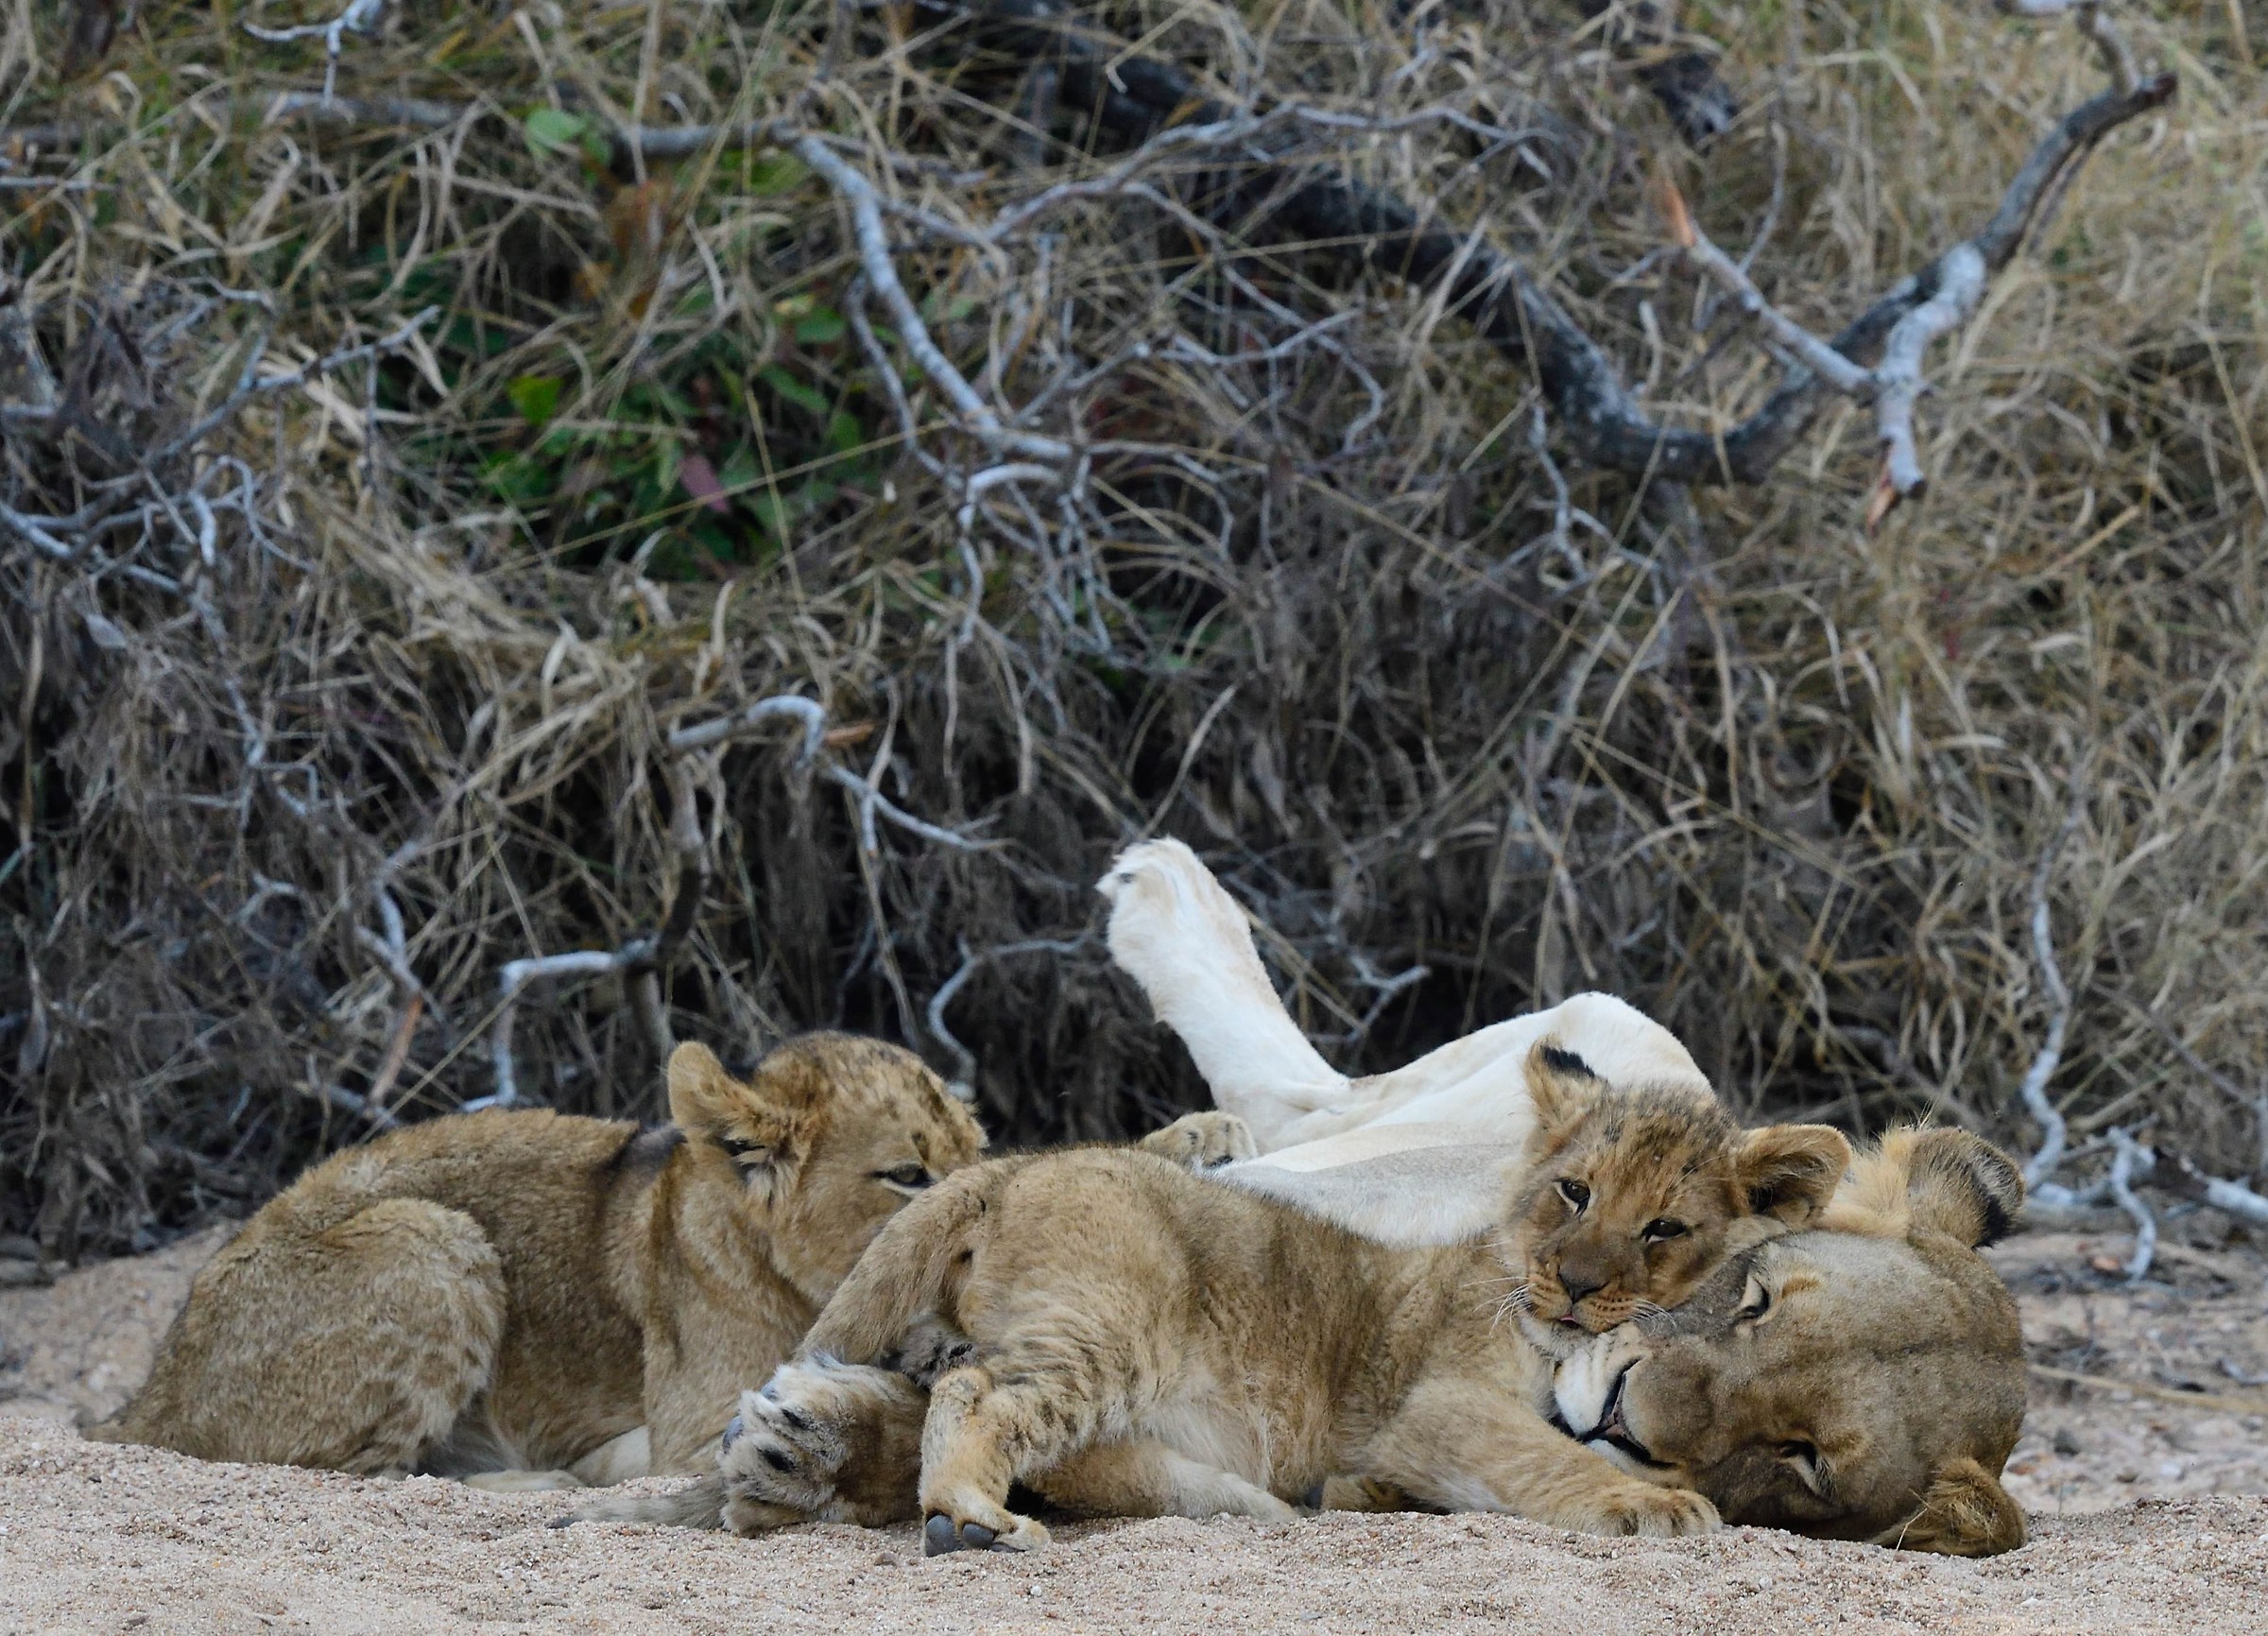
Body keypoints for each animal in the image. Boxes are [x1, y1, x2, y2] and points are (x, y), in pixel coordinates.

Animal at [85, 1033, 986, 1488]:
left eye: (979, 1152)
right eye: (908, 1174)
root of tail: (151, 1391)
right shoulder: (695, 1432)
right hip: (431, 1236)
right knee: (364, 1476)